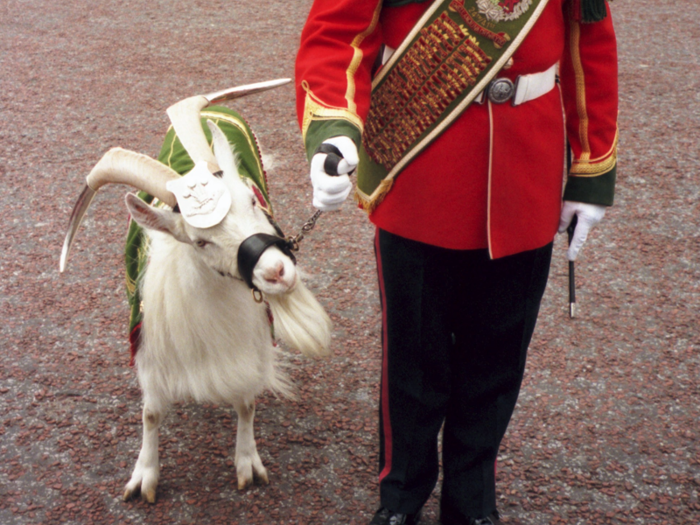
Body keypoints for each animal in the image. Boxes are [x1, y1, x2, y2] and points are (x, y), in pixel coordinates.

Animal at [58, 80, 332, 502]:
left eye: (252, 200)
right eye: (200, 242)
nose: (277, 272)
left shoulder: (252, 344)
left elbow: (247, 403)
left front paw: (247, 465)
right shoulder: (147, 344)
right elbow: (151, 413)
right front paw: (144, 478)